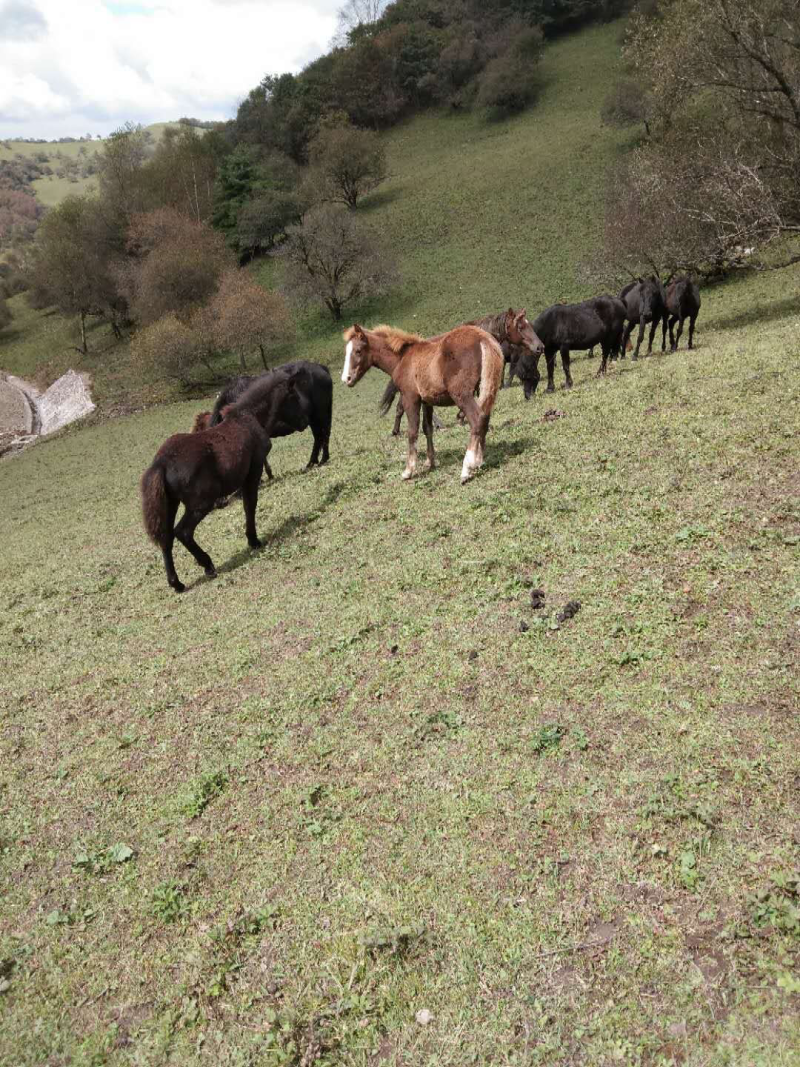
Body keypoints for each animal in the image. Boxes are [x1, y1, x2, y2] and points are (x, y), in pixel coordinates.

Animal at [141, 371, 307, 593]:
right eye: (294, 396)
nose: (305, 422)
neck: (246, 417)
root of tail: (161, 463)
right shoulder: (253, 471)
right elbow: (250, 504)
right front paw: (253, 540)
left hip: (171, 504)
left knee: (166, 538)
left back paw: (177, 583)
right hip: (201, 504)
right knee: (182, 532)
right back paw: (207, 565)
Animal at [193, 361, 332, 474]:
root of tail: (321, 368)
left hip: (320, 415)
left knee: (323, 434)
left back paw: (320, 460)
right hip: (315, 418)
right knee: (319, 437)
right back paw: (314, 462)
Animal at [342, 323, 504, 484]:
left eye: (358, 351)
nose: (346, 379)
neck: (402, 359)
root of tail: (482, 337)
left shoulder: (410, 398)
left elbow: (412, 431)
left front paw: (408, 470)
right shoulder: (427, 401)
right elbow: (427, 428)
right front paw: (430, 462)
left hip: (462, 394)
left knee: (476, 419)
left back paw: (466, 469)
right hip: (485, 389)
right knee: (484, 418)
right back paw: (479, 461)